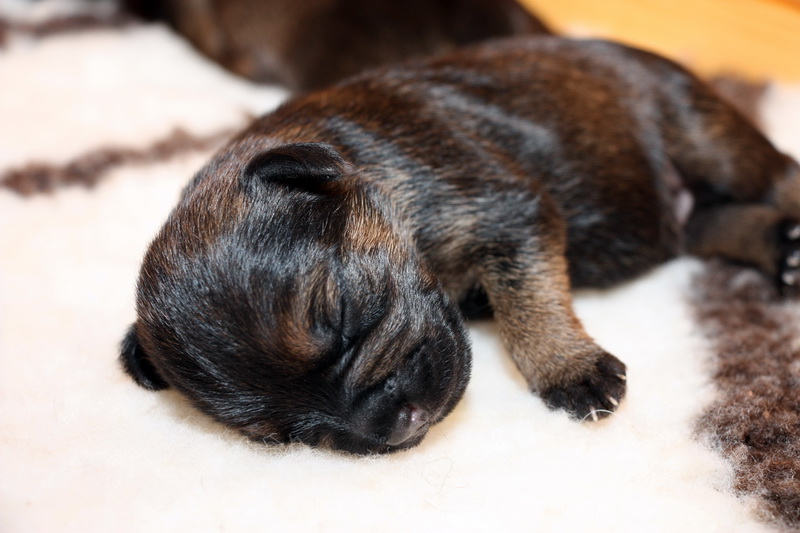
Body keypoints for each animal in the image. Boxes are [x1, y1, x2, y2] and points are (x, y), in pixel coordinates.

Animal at [120, 36, 800, 454]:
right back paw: (782, 248)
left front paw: (568, 369)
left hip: (702, 134)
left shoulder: (506, 211)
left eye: (340, 317)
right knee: (709, 224)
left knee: (775, 175)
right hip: (687, 206)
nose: (396, 428)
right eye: (280, 434)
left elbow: (528, 301)